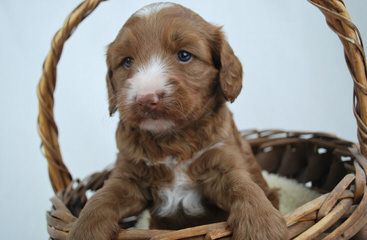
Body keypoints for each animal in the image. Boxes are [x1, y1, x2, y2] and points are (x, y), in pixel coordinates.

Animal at [68, 2, 288, 240]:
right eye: (126, 61)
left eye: (184, 55)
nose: (146, 98)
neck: (173, 140)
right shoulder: (130, 175)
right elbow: (104, 195)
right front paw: (84, 228)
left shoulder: (221, 159)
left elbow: (242, 185)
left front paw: (262, 226)